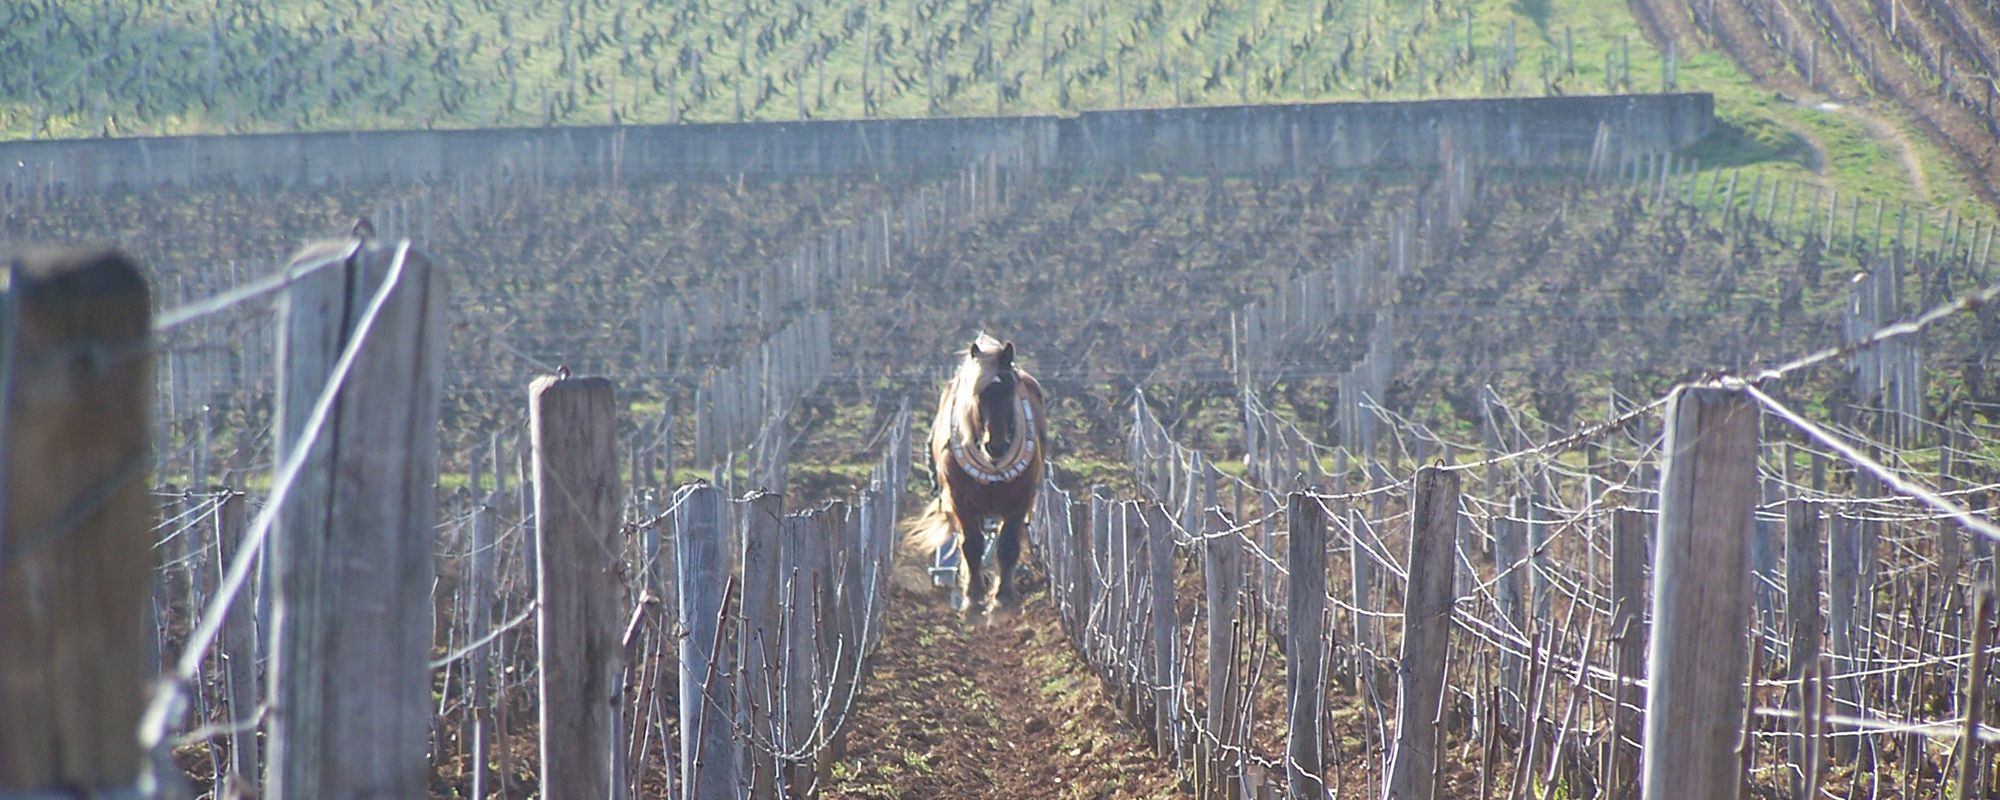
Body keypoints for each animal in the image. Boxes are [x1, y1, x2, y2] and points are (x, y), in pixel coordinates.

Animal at [904, 332, 1048, 620]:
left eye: (1010, 389)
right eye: (979, 394)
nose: (997, 446)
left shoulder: (1019, 501)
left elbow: (1007, 546)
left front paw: (1003, 599)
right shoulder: (961, 502)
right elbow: (971, 546)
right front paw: (973, 598)